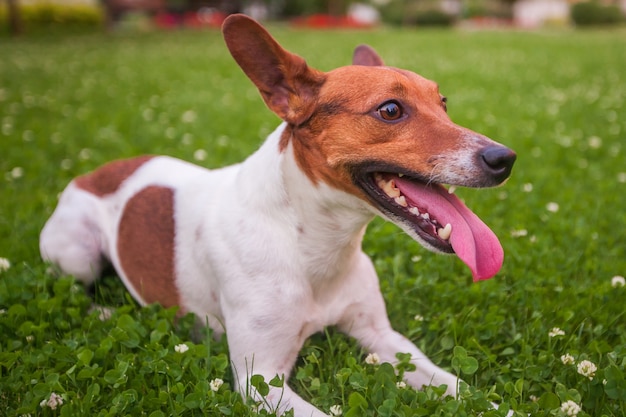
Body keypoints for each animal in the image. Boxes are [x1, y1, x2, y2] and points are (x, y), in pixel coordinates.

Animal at [41, 13, 516, 416]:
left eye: (444, 103)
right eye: (390, 110)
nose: (504, 158)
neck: (316, 245)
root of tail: (93, 172)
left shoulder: (383, 338)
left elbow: (457, 385)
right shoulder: (262, 382)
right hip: (77, 254)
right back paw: (104, 312)